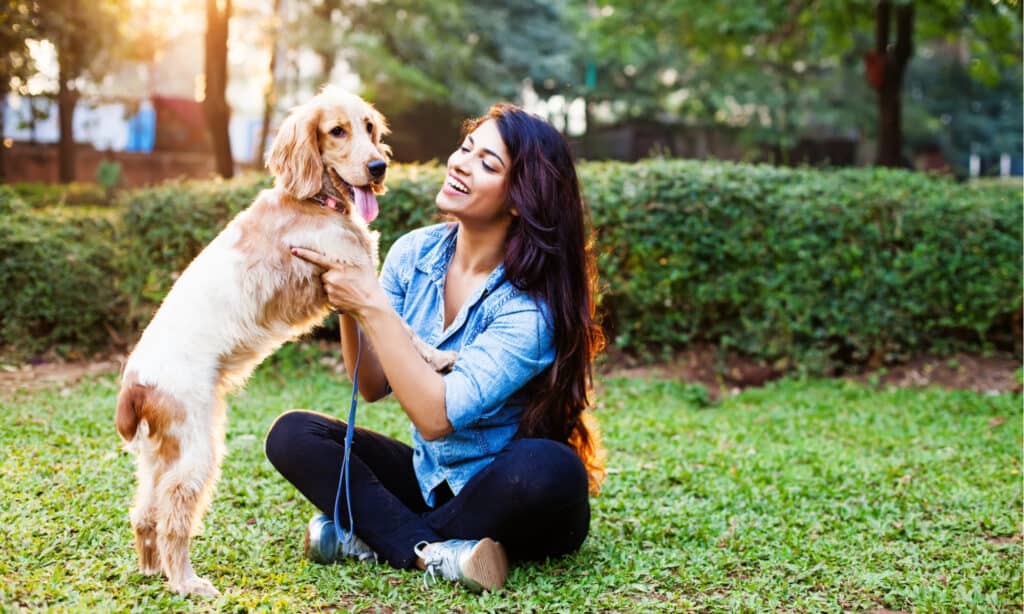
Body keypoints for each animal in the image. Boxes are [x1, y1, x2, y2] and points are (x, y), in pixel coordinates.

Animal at [112, 84, 452, 593]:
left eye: (370, 127)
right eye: (337, 131)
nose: (378, 167)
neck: (312, 201)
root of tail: (134, 381)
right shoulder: (351, 276)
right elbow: (405, 328)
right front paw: (437, 356)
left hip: (160, 454)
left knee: (144, 512)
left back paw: (154, 569)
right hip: (196, 449)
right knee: (174, 514)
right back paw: (187, 582)